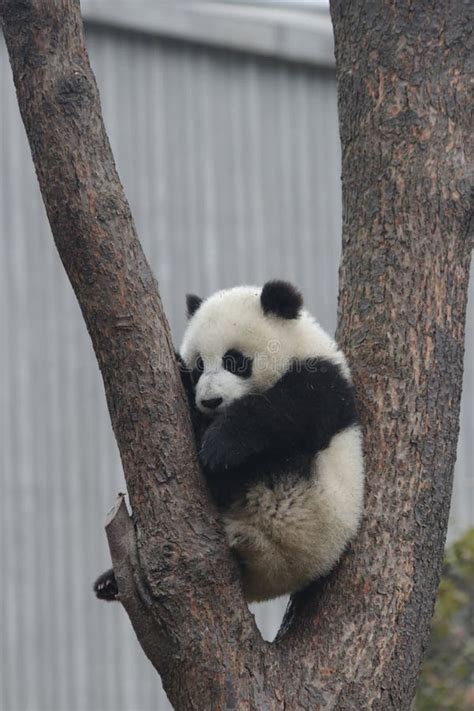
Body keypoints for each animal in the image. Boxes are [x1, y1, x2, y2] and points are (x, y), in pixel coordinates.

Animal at [95, 280, 364, 603]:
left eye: (234, 361)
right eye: (199, 366)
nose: (211, 402)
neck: (297, 348)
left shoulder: (323, 382)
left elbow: (284, 411)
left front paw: (218, 447)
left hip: (297, 499)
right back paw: (108, 583)